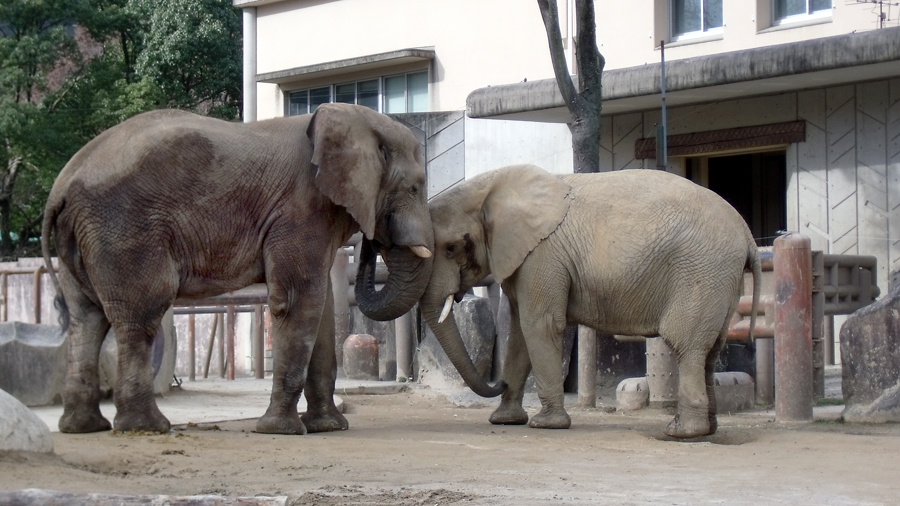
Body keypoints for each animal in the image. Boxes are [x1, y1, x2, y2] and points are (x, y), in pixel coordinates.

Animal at [40, 103, 434, 434]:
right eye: (415, 188)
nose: (373, 242)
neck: (352, 117)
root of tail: (60, 186)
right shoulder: (299, 210)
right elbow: (298, 301)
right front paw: (281, 431)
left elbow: (321, 307)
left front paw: (329, 428)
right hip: (125, 228)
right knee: (142, 313)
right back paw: (147, 427)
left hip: (84, 237)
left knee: (85, 319)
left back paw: (83, 427)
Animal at [418, 165, 756, 438]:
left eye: (450, 248)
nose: (499, 383)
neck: (490, 185)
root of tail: (747, 233)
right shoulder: (523, 259)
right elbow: (519, 333)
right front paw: (504, 420)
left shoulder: (542, 255)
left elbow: (539, 325)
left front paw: (546, 425)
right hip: (722, 281)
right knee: (710, 350)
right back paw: (708, 429)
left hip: (702, 272)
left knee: (686, 346)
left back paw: (682, 433)